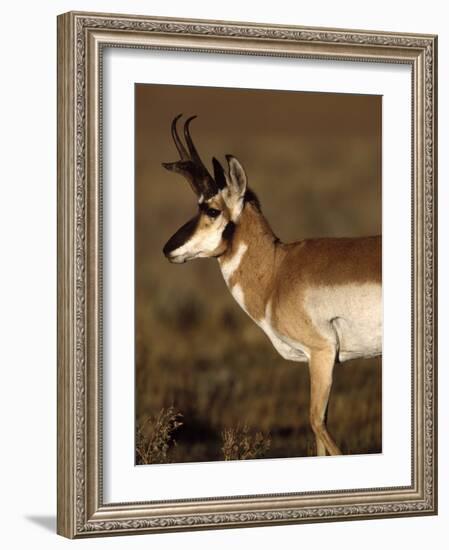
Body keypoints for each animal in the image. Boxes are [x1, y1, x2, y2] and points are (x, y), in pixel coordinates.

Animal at [163, 114, 380, 460]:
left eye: (211, 209)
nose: (167, 249)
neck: (279, 269)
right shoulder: (317, 362)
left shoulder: (322, 354)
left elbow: (317, 423)